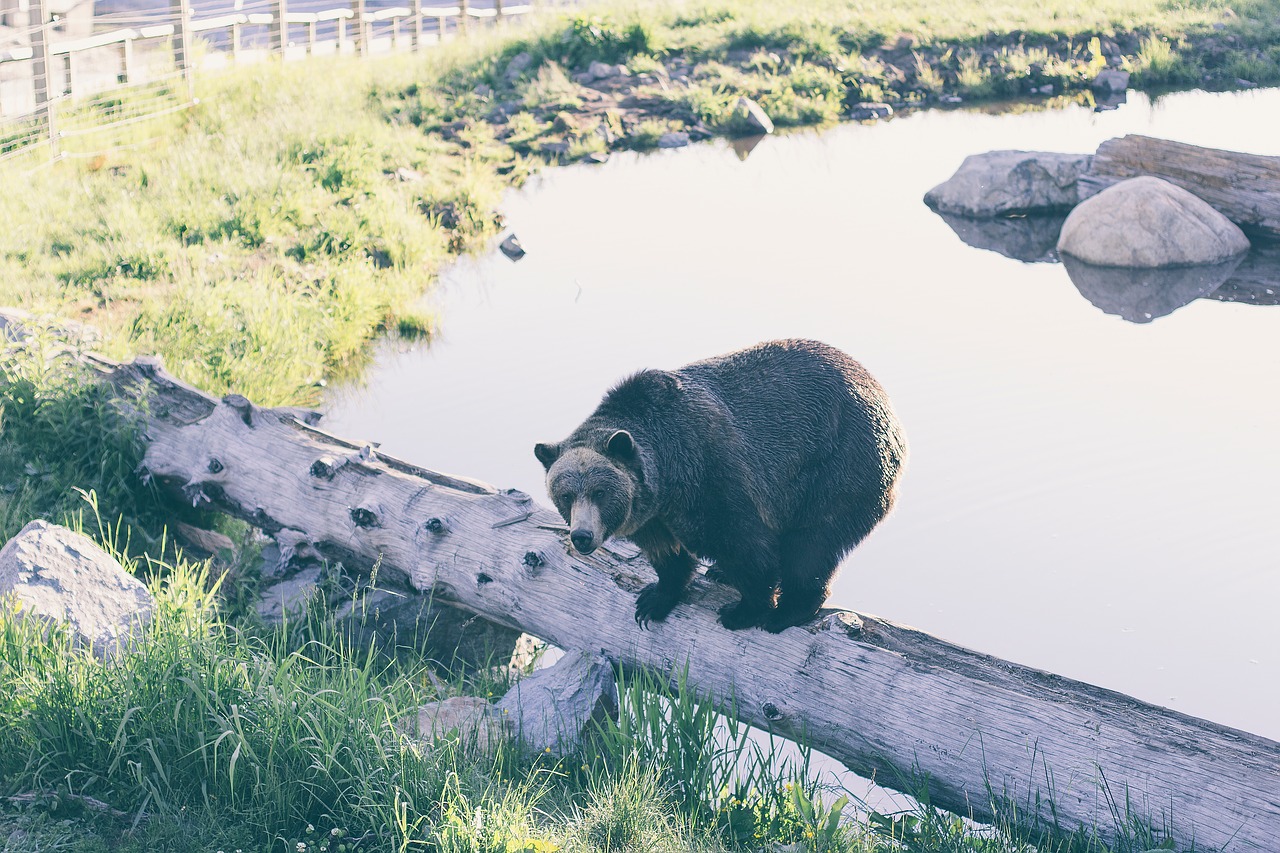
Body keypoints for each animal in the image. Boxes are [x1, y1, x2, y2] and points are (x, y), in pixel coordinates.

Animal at [535, 338, 906, 630]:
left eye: (600, 492)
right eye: (565, 495)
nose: (582, 536)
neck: (667, 478)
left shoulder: (709, 474)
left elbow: (745, 546)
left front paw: (743, 611)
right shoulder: (652, 514)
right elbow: (666, 553)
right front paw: (654, 599)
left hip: (838, 465)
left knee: (811, 542)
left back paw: (788, 611)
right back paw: (722, 575)